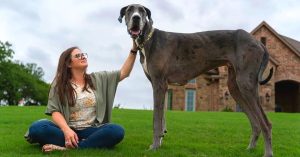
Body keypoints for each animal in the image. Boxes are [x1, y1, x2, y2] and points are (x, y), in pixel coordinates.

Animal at [118, 3, 274, 157]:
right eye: (130, 10)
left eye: (142, 11)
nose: (136, 18)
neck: (148, 39)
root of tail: (259, 43)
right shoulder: (161, 86)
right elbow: (161, 118)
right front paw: (159, 142)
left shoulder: (159, 84)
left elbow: (156, 120)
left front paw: (154, 147)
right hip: (235, 87)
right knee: (255, 123)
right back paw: (250, 148)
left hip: (246, 84)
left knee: (266, 123)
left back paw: (268, 153)